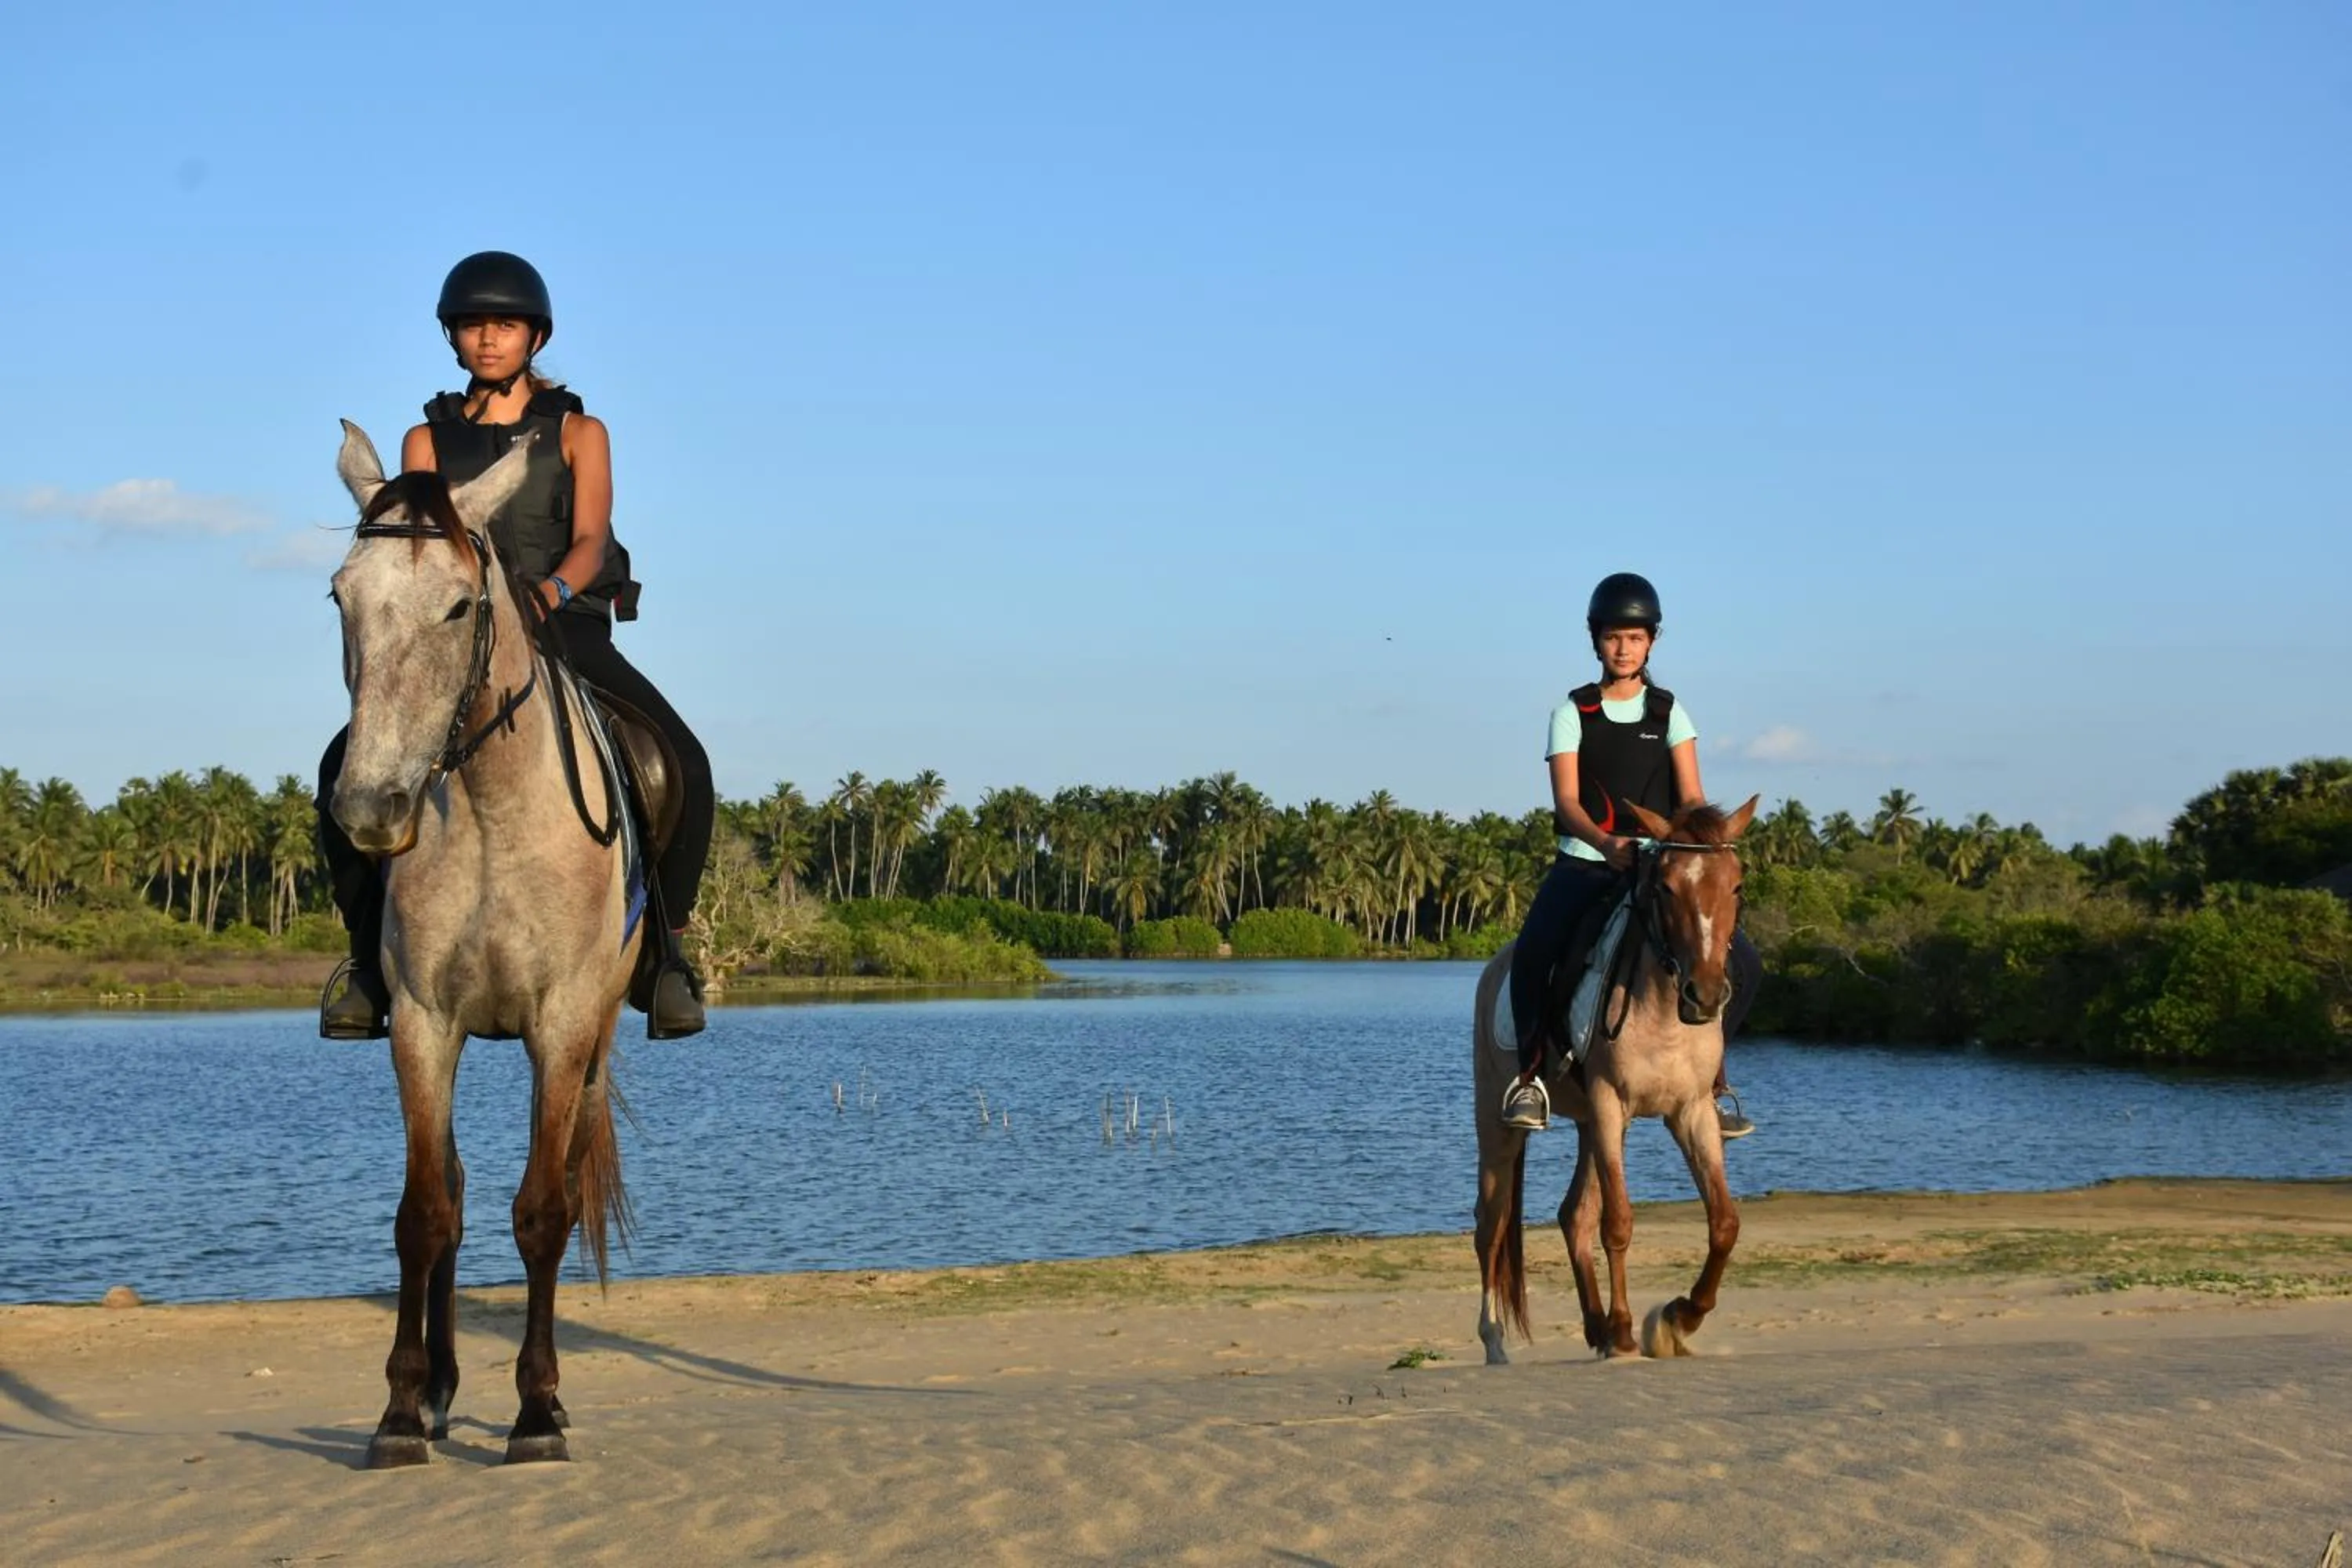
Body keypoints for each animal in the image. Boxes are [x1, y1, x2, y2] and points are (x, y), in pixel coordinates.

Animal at [327, 420, 638, 1467]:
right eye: (340, 596)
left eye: (460, 604)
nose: (371, 808)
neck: (495, 809)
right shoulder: (424, 1023)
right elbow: (426, 1212)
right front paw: (399, 1407)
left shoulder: (562, 1022)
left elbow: (542, 1211)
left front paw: (537, 1410)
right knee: (455, 1197)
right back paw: (440, 1388)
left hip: (595, 1042)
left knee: (564, 1182)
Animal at [1471, 795, 1758, 1363]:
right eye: (1664, 886)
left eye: (1736, 885)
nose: (1705, 996)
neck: (1664, 1010)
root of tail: (1494, 967)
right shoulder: (1610, 1104)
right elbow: (1619, 1223)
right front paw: (1629, 1328)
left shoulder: (1690, 1112)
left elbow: (1724, 1223)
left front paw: (1678, 1318)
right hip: (1500, 1127)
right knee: (1489, 1227)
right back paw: (1496, 1343)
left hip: (1590, 1125)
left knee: (1573, 1215)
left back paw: (1596, 1328)